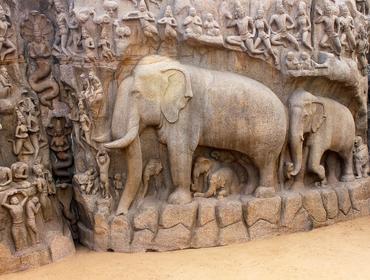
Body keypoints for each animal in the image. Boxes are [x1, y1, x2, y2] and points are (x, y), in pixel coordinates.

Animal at [104, 55, 286, 215]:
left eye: (135, 93)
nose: (120, 214)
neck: (171, 69)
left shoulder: (187, 114)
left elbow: (178, 152)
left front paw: (177, 202)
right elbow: (166, 151)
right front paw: (166, 197)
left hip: (268, 134)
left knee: (264, 161)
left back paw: (262, 194)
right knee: (247, 160)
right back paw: (247, 191)